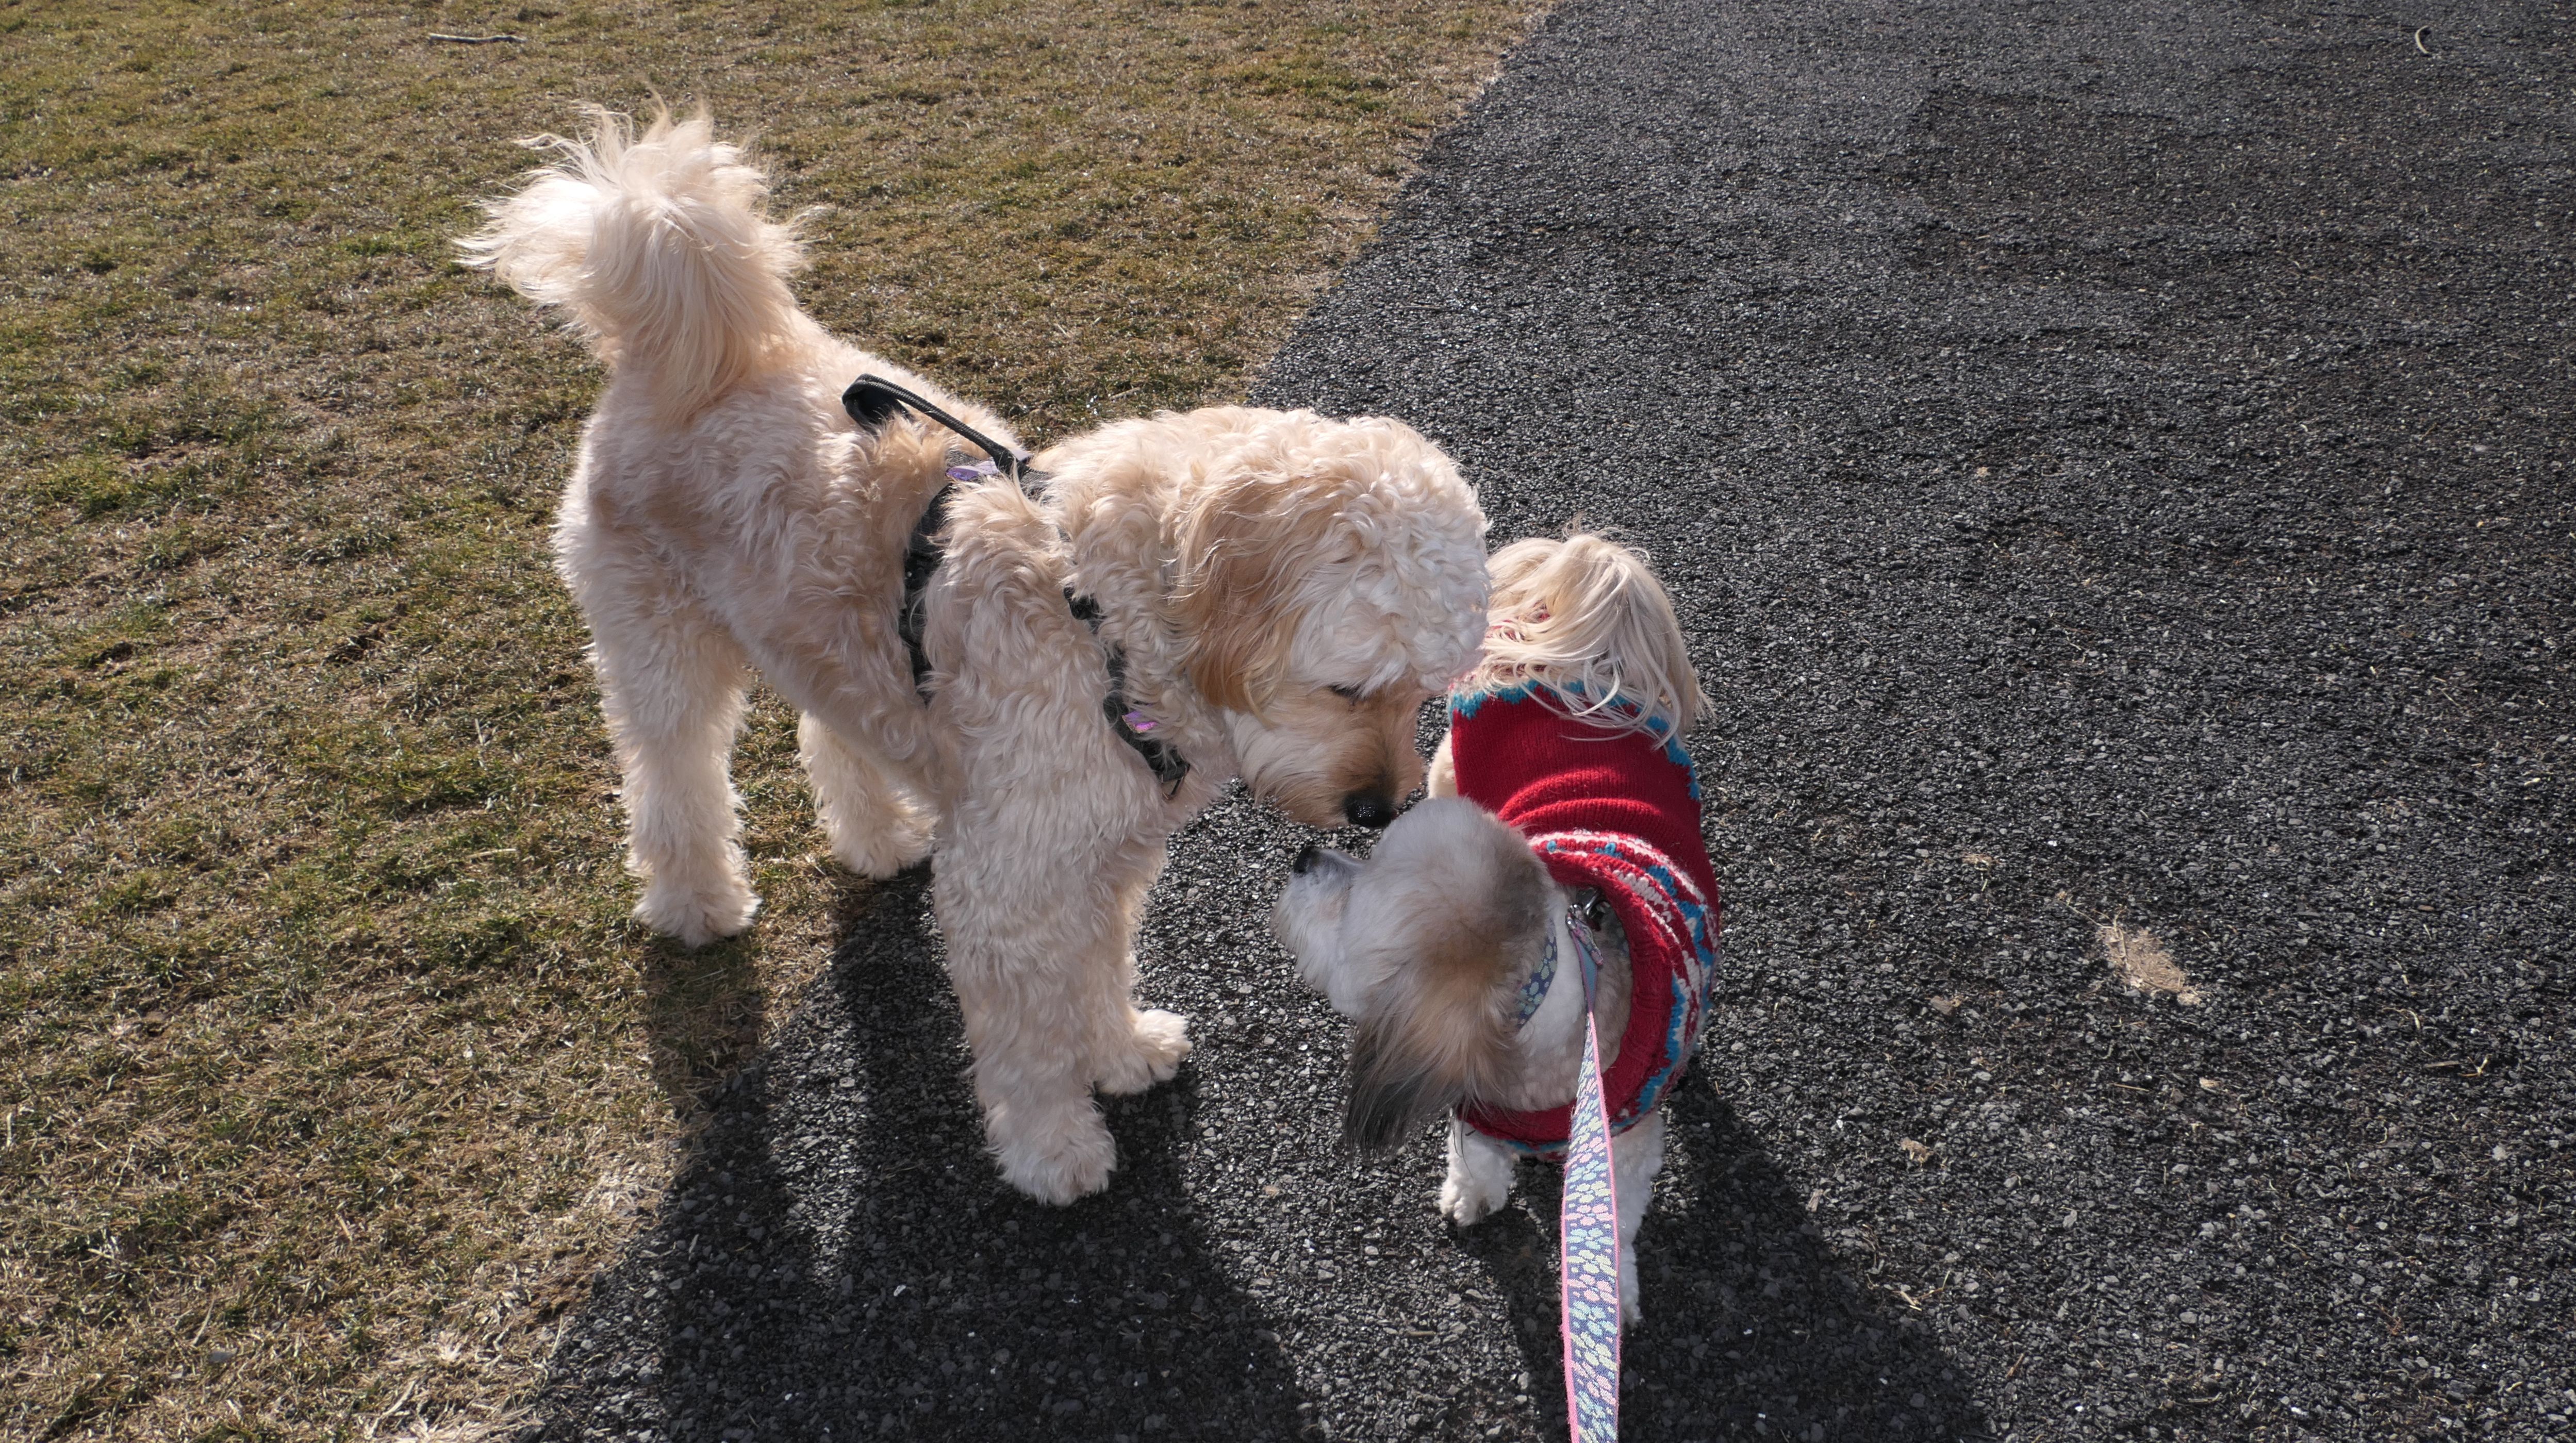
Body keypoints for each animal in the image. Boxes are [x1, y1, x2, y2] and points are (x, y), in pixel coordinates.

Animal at [461, 109, 1489, 1203]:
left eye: (1423, 692)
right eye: (1347, 686)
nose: (1381, 808)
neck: (1097, 616)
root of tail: (682, 347)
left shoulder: (1103, 855)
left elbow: (1097, 969)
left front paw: (1121, 1047)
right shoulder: (1012, 881)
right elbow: (1031, 1037)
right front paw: (1054, 1146)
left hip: (828, 635)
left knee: (834, 733)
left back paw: (877, 836)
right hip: (660, 646)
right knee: (673, 775)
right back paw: (697, 900)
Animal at [1270, 532, 1716, 1322]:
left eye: (1352, 899)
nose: (1304, 855)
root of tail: (1573, 665)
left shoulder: (1627, 1146)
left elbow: (1615, 1218)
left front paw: (1606, 1292)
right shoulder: (1474, 1101)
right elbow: (1475, 1154)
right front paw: (1472, 1195)